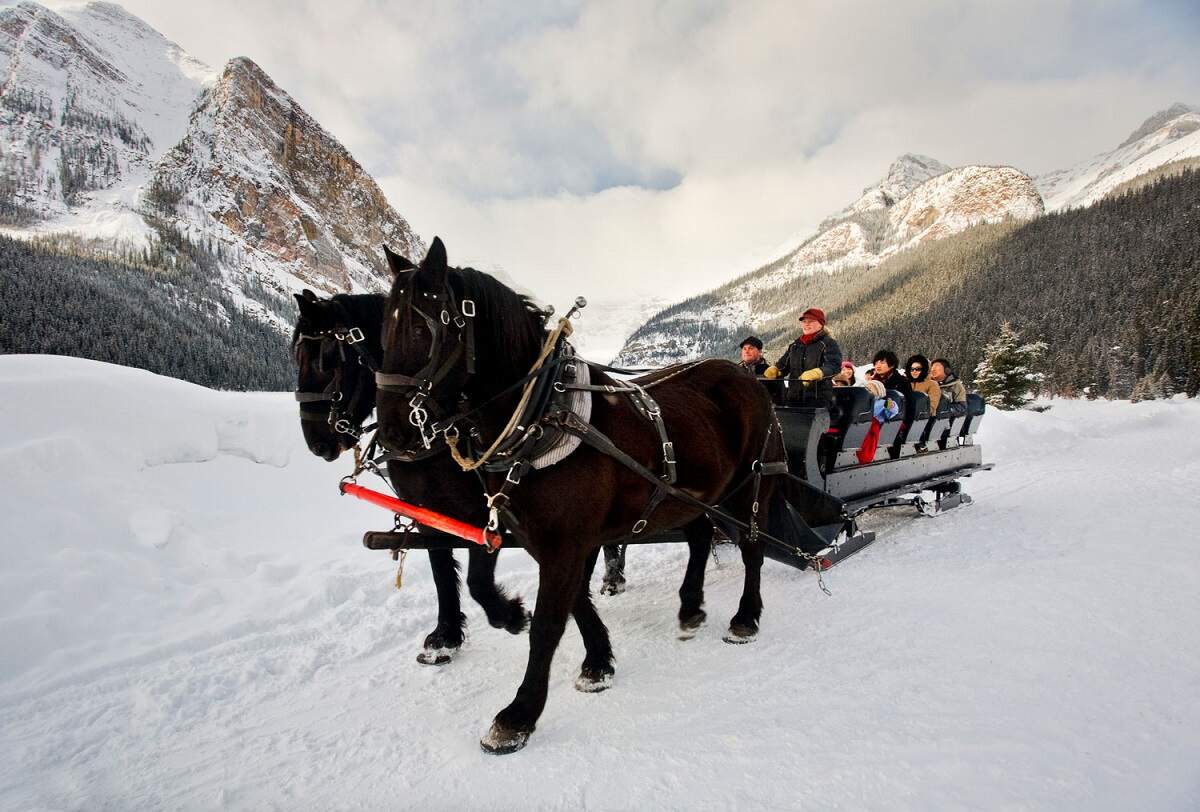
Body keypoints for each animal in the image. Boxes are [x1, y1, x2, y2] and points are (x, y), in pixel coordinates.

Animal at [291, 288, 530, 664]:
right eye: (296, 356)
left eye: (326, 358)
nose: (317, 442)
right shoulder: (427, 512)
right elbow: (441, 571)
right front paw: (446, 635)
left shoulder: (485, 513)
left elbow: (478, 579)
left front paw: (511, 615)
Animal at [373, 237, 790, 754]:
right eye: (382, 329)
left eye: (421, 328)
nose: (392, 435)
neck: (539, 416)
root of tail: (746, 376)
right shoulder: (538, 535)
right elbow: (559, 599)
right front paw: (591, 657)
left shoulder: (566, 541)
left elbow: (550, 622)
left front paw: (519, 713)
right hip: (690, 495)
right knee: (698, 538)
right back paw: (691, 607)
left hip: (749, 487)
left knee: (752, 547)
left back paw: (745, 617)